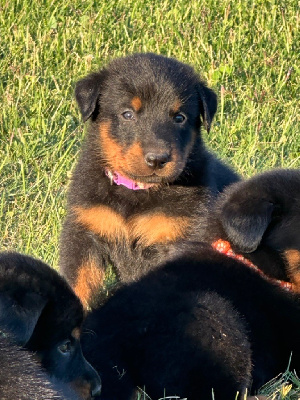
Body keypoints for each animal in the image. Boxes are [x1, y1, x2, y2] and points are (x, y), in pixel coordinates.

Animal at [59, 50, 239, 306]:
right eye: (127, 114)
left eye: (180, 118)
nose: (157, 159)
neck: (136, 191)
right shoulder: (84, 232)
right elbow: (78, 285)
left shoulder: (177, 239)